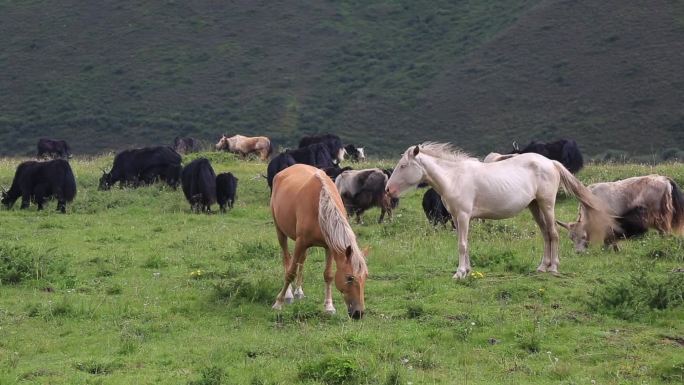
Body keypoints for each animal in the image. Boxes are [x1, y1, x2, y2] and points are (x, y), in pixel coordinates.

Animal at [268, 164, 368, 316]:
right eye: (350, 278)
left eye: (365, 277)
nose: (358, 313)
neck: (321, 207)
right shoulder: (300, 242)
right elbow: (290, 272)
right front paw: (278, 302)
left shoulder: (330, 246)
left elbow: (328, 275)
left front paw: (329, 306)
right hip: (280, 232)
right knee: (287, 258)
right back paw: (289, 294)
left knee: (301, 260)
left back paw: (299, 291)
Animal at [384, 142, 616, 278]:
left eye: (403, 166)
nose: (388, 190)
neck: (454, 177)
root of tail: (551, 162)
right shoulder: (458, 219)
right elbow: (465, 244)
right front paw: (467, 270)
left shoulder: (463, 216)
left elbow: (462, 244)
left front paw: (460, 273)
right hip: (534, 207)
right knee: (545, 235)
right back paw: (542, 266)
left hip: (546, 205)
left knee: (553, 234)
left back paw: (553, 268)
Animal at [556, 174, 684, 252]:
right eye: (571, 237)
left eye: (583, 235)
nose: (579, 252)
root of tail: (664, 179)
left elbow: (609, 236)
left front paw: (611, 248)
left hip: (659, 216)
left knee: (665, 232)